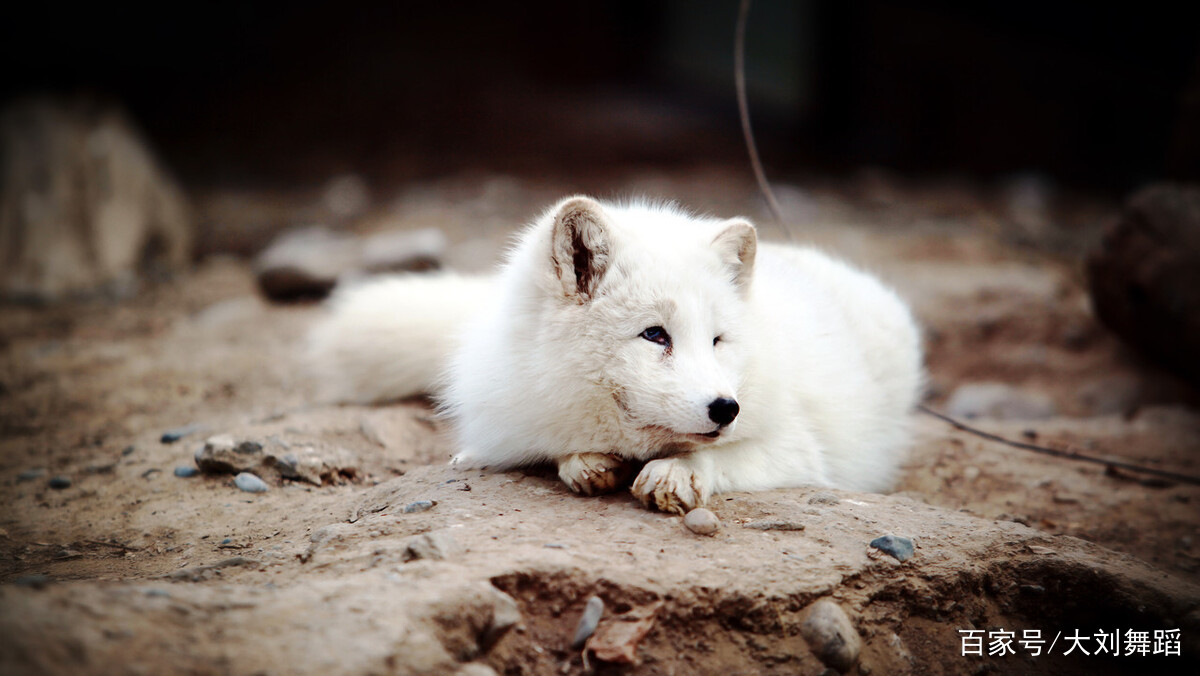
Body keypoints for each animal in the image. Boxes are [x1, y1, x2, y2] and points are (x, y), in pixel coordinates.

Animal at [307, 195, 916, 513]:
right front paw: (585, 462)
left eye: (717, 340)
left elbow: (726, 456)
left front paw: (679, 472)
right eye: (655, 335)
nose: (727, 408)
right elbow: (559, 447)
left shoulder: (799, 448)